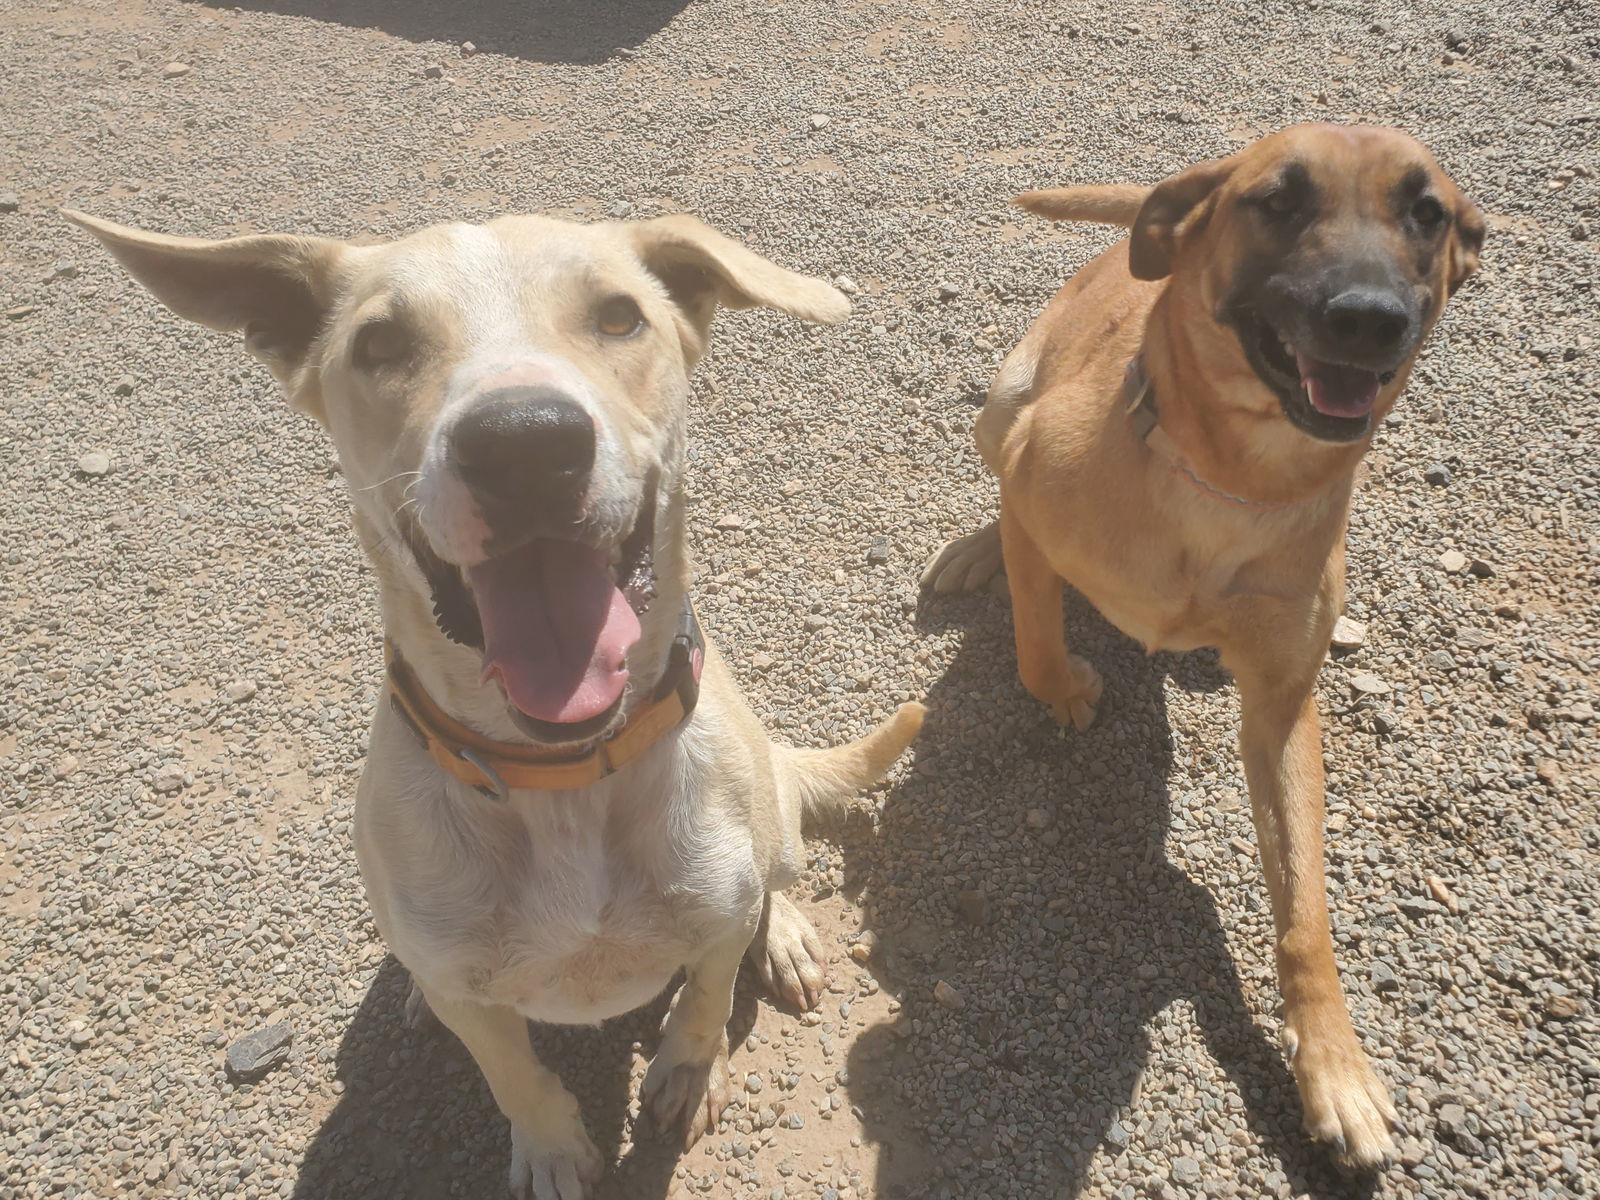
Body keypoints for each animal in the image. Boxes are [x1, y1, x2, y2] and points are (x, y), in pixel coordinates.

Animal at [72, 209, 928, 1200]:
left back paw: (780, 932)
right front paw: (553, 1151)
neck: (560, 773)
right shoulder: (471, 992)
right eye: (379, 342)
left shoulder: (714, 917)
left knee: (773, 878)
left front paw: (688, 1071)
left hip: (773, 823)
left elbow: (707, 998)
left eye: (619, 317)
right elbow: (511, 1070)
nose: (526, 443)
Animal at [928, 124, 1484, 1164]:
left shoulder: (1281, 707)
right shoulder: (1036, 478)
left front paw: (1333, 1066)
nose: (1370, 318)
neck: (1234, 479)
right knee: (1001, 496)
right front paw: (1066, 685)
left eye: (1426, 213)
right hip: (1004, 402)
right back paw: (977, 549)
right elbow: (1035, 638)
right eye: (1279, 199)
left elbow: (1305, 907)